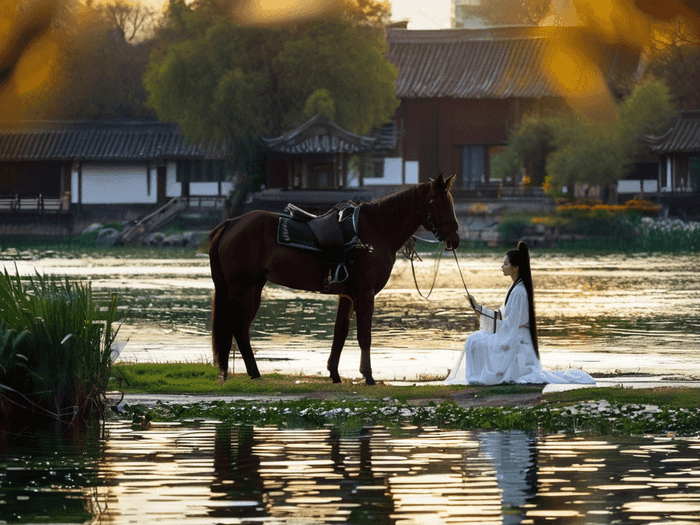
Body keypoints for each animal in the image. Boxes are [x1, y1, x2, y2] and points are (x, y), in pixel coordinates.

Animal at [208, 172, 460, 384]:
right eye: (440, 203)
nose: (455, 239)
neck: (376, 231)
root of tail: (231, 222)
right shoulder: (364, 294)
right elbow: (364, 336)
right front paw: (368, 376)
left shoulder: (346, 297)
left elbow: (340, 334)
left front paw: (335, 373)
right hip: (242, 289)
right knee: (239, 328)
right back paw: (254, 372)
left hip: (253, 288)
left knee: (240, 329)